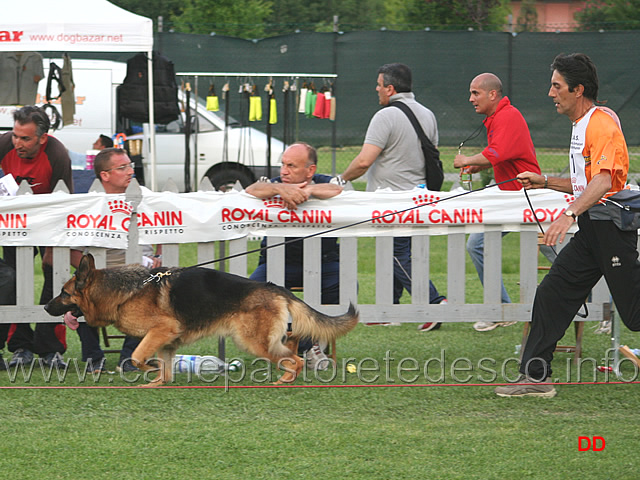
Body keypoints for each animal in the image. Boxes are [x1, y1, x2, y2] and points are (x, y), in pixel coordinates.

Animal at [45, 255, 360, 386]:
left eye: (64, 293)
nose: (46, 306)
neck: (123, 291)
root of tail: (275, 287)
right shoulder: (167, 341)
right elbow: (164, 371)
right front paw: (154, 383)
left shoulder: (162, 330)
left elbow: (136, 356)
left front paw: (148, 368)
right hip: (267, 339)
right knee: (293, 346)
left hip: (253, 342)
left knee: (293, 360)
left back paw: (284, 381)